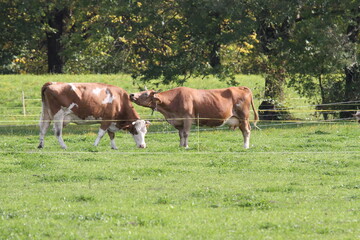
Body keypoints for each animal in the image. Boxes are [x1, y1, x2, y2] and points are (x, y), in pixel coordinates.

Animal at [129, 86, 258, 148]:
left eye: (145, 94)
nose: (131, 94)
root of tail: (241, 87)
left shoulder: (188, 119)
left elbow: (186, 133)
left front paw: (186, 146)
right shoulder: (179, 121)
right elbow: (181, 134)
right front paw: (181, 146)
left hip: (244, 117)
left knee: (247, 131)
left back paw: (245, 146)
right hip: (239, 119)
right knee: (244, 131)